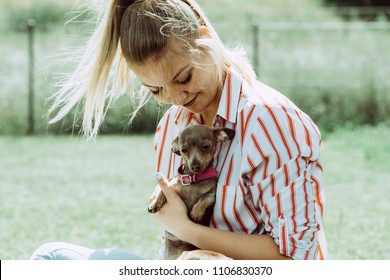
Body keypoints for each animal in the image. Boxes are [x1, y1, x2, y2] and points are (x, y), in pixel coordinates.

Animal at [148, 124, 235, 260]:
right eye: (184, 150)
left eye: (206, 146)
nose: (194, 166)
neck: (193, 179)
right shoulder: (172, 186)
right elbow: (163, 191)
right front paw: (154, 204)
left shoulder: (212, 194)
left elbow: (204, 198)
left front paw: (196, 213)